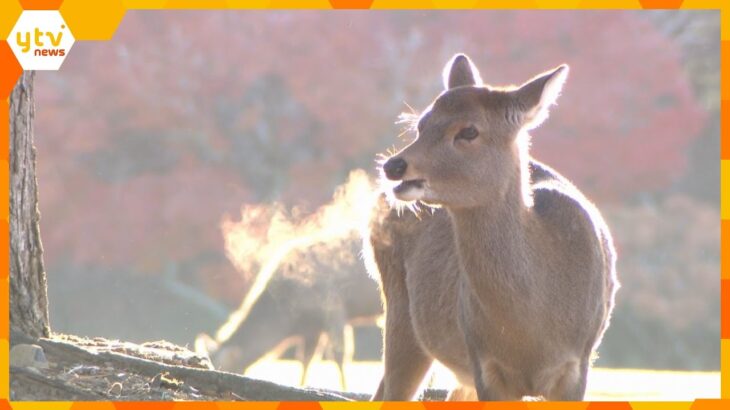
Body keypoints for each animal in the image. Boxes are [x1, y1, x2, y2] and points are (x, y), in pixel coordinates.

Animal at [362, 53, 616, 400]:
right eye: (422, 124)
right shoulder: (485, 364)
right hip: (401, 310)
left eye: (469, 131)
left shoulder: (577, 365)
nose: (393, 165)